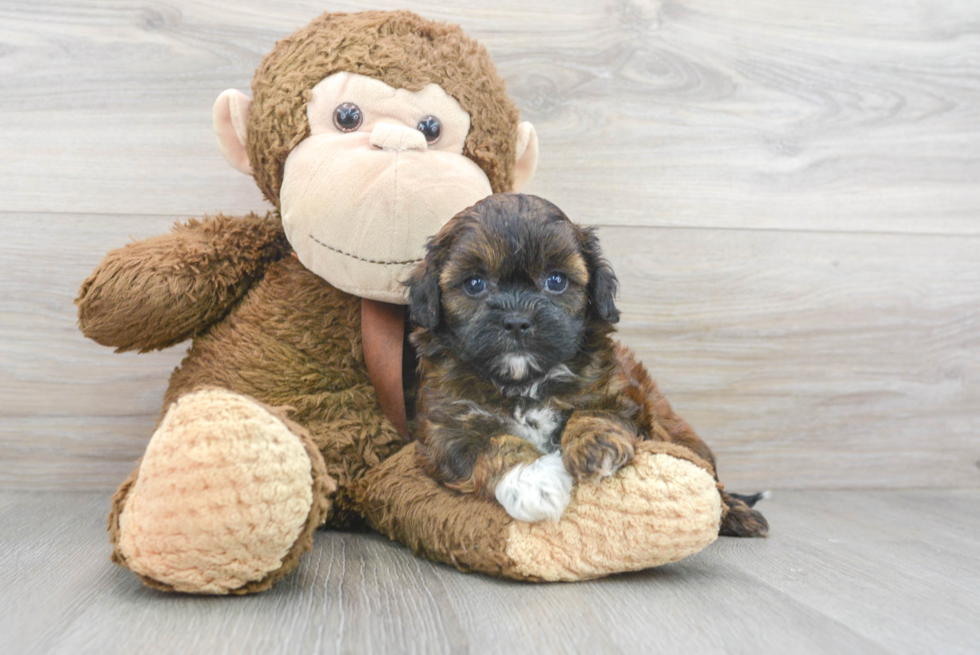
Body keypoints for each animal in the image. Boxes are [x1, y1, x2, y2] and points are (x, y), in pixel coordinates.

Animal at [404, 195, 764, 540]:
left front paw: (595, 446)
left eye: (555, 281)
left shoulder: (617, 394)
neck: (524, 382)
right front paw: (536, 482)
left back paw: (738, 513)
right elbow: (492, 443)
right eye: (475, 284)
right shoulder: (443, 430)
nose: (517, 321)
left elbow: (596, 412)